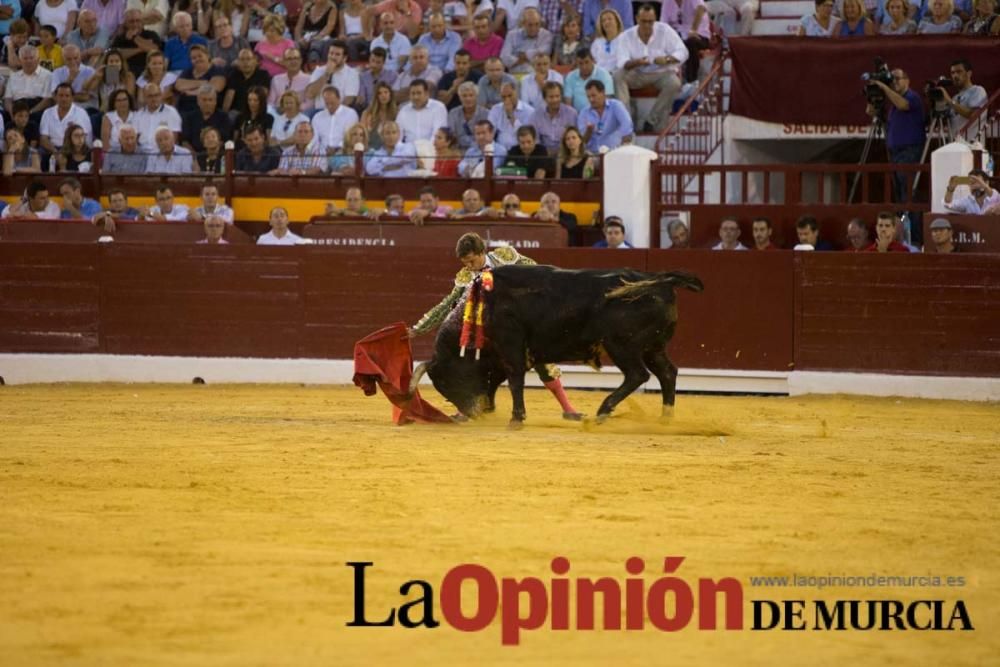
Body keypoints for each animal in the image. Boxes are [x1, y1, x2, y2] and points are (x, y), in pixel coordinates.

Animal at [406, 264, 704, 426]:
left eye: (446, 381)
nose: (472, 412)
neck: (483, 306)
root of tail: (661, 282)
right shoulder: (511, 354)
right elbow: (499, 382)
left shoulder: (510, 346)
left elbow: (514, 380)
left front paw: (516, 418)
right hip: (653, 347)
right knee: (667, 372)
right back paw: (665, 418)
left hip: (622, 345)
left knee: (637, 375)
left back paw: (602, 412)